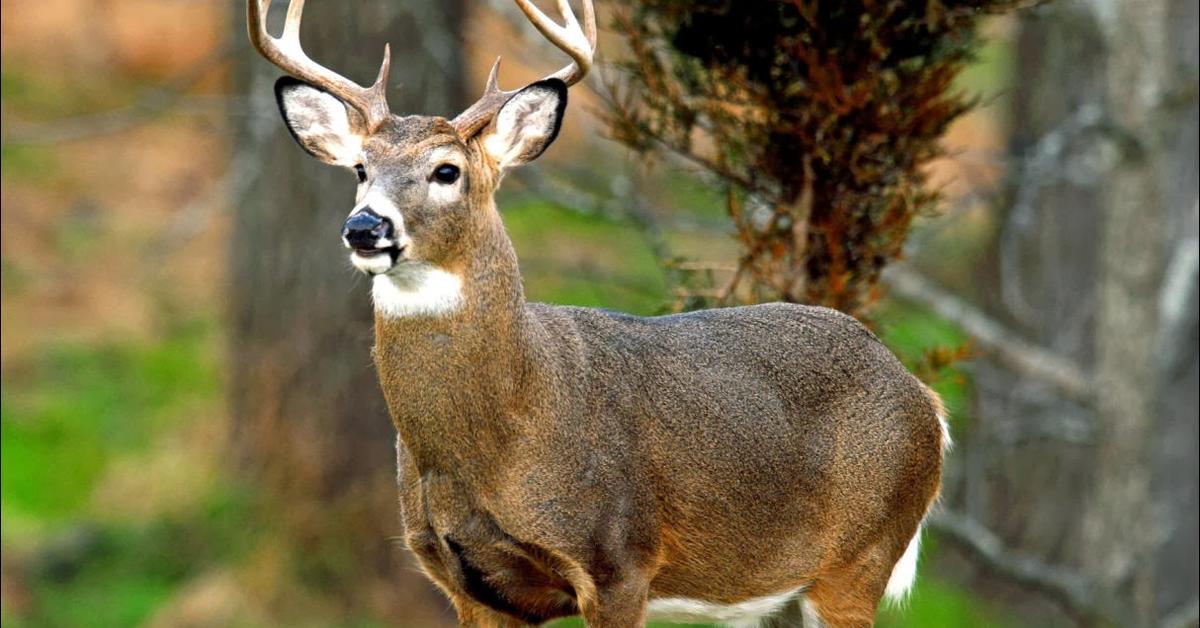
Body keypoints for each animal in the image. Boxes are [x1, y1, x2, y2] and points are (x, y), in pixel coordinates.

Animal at [250, 0, 945, 624]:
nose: (365, 227)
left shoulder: (620, 561)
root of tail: (926, 400)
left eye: (447, 171)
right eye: (359, 169)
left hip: (859, 558)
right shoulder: (466, 583)